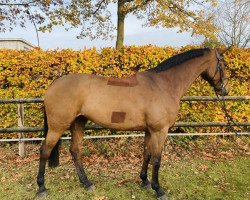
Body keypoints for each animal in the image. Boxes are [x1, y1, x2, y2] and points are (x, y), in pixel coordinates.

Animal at [36, 47, 229, 199]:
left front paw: (144, 181)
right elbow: (157, 159)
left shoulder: (149, 131)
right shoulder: (160, 131)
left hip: (78, 122)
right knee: (45, 150)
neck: (164, 85)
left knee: (75, 151)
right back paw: (41, 188)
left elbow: (146, 154)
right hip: (57, 127)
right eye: (224, 65)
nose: (225, 91)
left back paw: (87, 183)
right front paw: (158, 190)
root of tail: (54, 84)